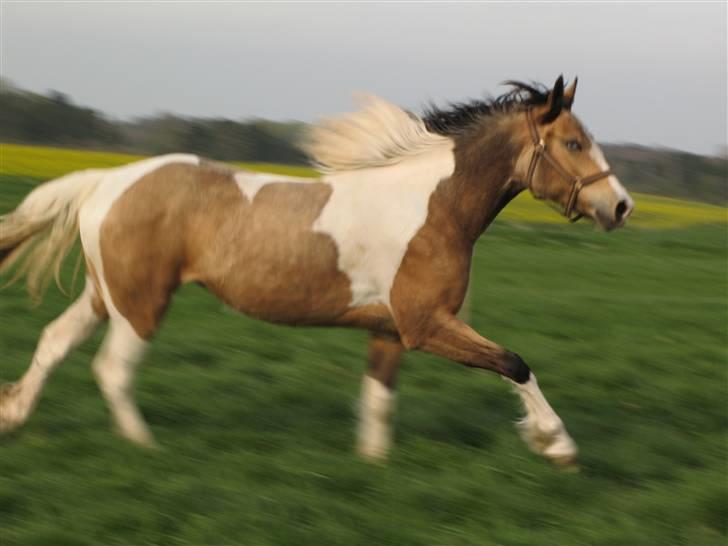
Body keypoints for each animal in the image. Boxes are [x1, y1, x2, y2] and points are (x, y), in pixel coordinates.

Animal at [0, 75, 632, 464]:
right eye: (574, 144)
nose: (621, 206)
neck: (433, 206)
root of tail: (104, 181)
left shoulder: (389, 330)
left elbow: (379, 401)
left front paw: (373, 465)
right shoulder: (426, 324)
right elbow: (514, 364)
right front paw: (557, 446)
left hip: (105, 294)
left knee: (54, 341)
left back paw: (14, 415)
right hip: (141, 303)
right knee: (111, 368)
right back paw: (144, 446)